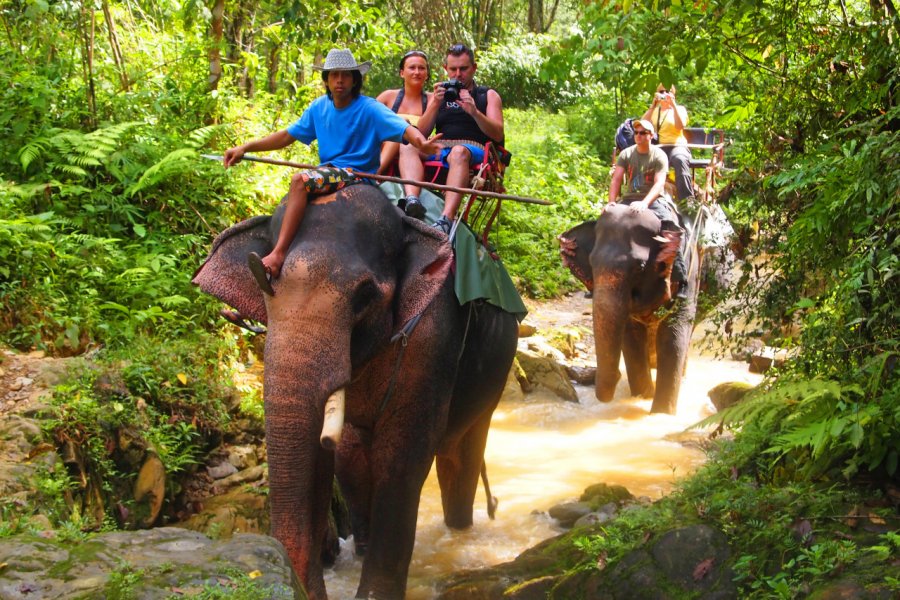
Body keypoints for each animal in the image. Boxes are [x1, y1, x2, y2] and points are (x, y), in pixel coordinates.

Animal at [193, 184, 520, 600]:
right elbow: (326, 460)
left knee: (461, 452)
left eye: (364, 295)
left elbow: (402, 457)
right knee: (351, 456)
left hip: (498, 365)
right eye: (263, 285)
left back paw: (460, 530)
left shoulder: (432, 336)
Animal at [556, 204, 704, 414]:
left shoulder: (689, 275)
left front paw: (661, 414)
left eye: (640, 267)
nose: (618, 375)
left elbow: (673, 335)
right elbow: (630, 335)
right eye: (592, 263)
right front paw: (643, 396)